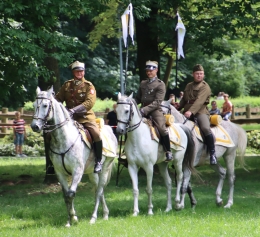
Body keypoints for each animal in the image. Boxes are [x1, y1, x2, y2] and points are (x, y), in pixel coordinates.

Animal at [29, 86, 118, 226]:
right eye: (33, 105)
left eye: (45, 105)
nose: (35, 126)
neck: (64, 139)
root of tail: (110, 130)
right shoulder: (60, 173)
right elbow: (66, 196)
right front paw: (69, 220)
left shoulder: (77, 171)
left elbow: (71, 194)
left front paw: (74, 219)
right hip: (92, 173)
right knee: (98, 189)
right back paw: (105, 214)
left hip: (105, 168)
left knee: (99, 190)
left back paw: (93, 217)